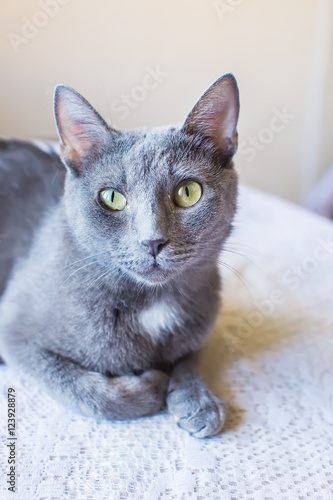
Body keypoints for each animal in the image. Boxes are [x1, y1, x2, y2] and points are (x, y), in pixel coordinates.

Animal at [0, 74, 239, 438]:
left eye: (189, 192)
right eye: (112, 197)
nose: (152, 241)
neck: (154, 304)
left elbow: (189, 354)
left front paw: (199, 400)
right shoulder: (15, 330)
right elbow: (88, 394)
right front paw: (153, 384)